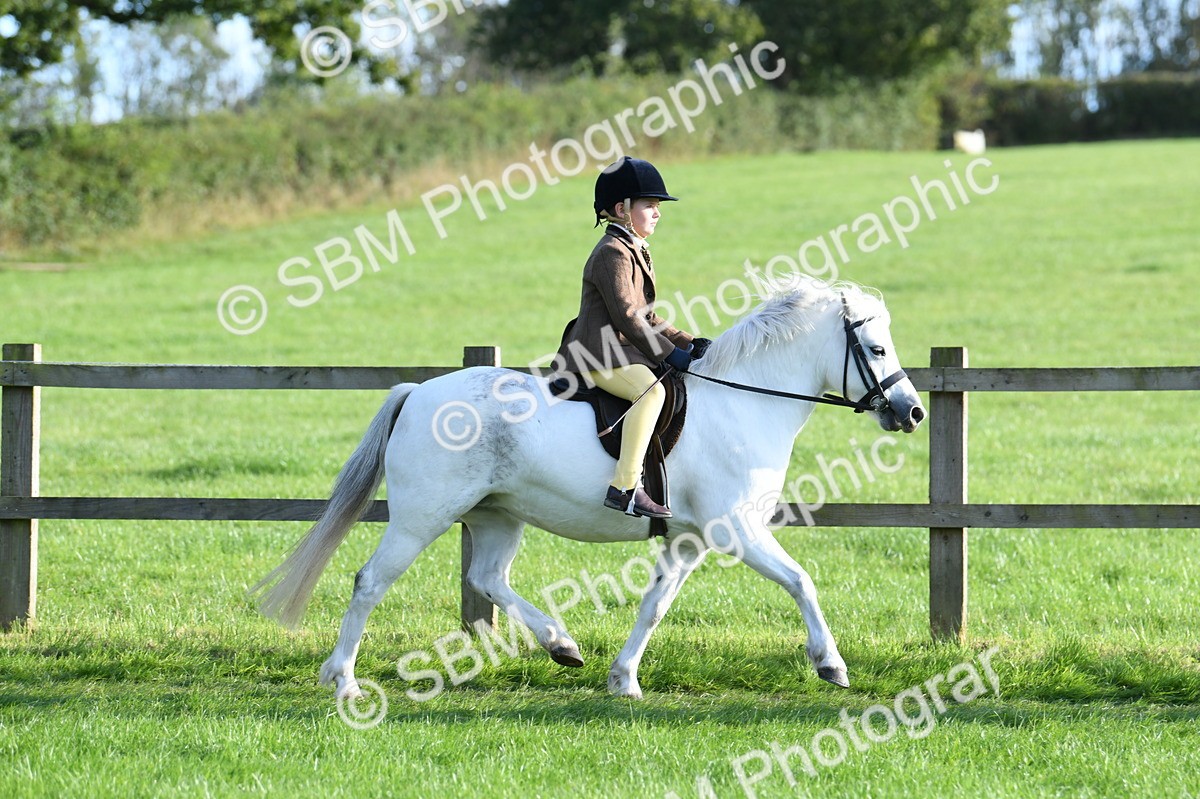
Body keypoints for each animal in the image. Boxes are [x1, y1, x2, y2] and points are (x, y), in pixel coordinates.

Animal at [253, 276, 926, 700]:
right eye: (875, 347)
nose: (912, 412)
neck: (746, 401)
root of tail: (418, 392)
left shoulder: (687, 540)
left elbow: (654, 606)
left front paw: (623, 679)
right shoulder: (737, 530)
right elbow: (802, 582)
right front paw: (831, 664)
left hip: (497, 515)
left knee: (487, 578)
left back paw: (562, 645)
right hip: (423, 516)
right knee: (371, 582)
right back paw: (342, 680)